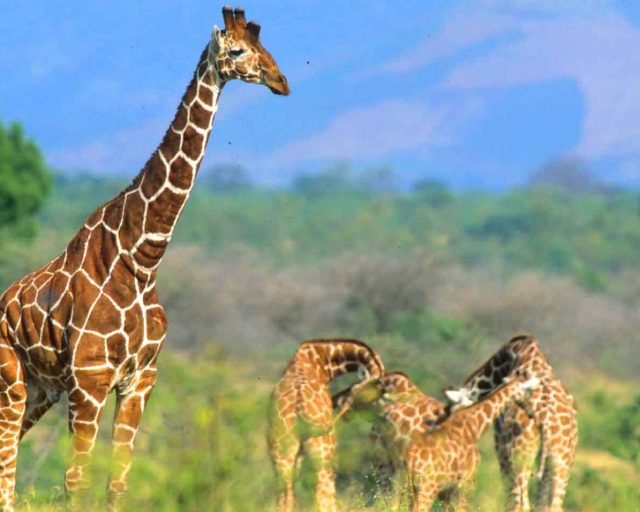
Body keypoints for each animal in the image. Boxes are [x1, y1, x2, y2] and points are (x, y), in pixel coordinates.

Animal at [0, 6, 288, 511]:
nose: (281, 80)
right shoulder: (90, 381)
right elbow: (76, 480)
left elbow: (118, 481)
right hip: (11, 382)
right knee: (6, 459)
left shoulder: (140, 379)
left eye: (266, 47)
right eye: (237, 50)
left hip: (40, 389)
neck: (142, 257)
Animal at [267, 338, 386, 512]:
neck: (321, 359)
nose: (336, 401)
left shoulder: (296, 456)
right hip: (325, 456)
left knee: (284, 497)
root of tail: (299, 408)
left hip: (282, 454)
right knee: (323, 496)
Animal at [406, 372, 540, 512]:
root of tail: (412, 459)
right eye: (527, 392)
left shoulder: (449, 490)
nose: (532, 413)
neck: (475, 425)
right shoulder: (466, 483)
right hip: (428, 487)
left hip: (411, 488)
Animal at [443, 335, 578, 512]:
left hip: (520, 457)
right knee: (552, 505)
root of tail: (546, 420)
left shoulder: (501, 448)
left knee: (521, 503)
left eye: (454, 417)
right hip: (561, 461)